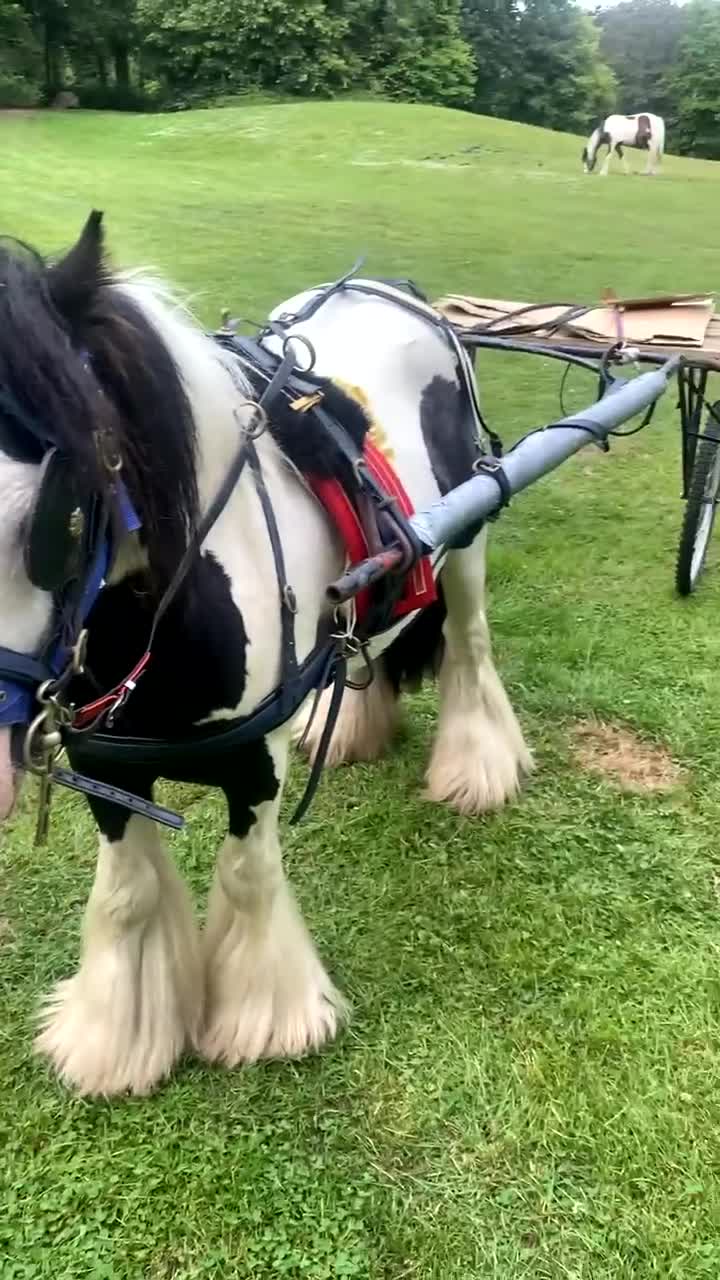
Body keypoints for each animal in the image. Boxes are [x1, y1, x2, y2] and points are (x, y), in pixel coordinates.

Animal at [0, 213, 531, 1097]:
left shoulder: (255, 764)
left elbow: (249, 875)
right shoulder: (104, 764)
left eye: (53, 517)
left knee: (470, 645)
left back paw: (477, 768)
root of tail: (395, 290)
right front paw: (118, 1040)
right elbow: (127, 895)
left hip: (468, 537)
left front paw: (266, 1023)